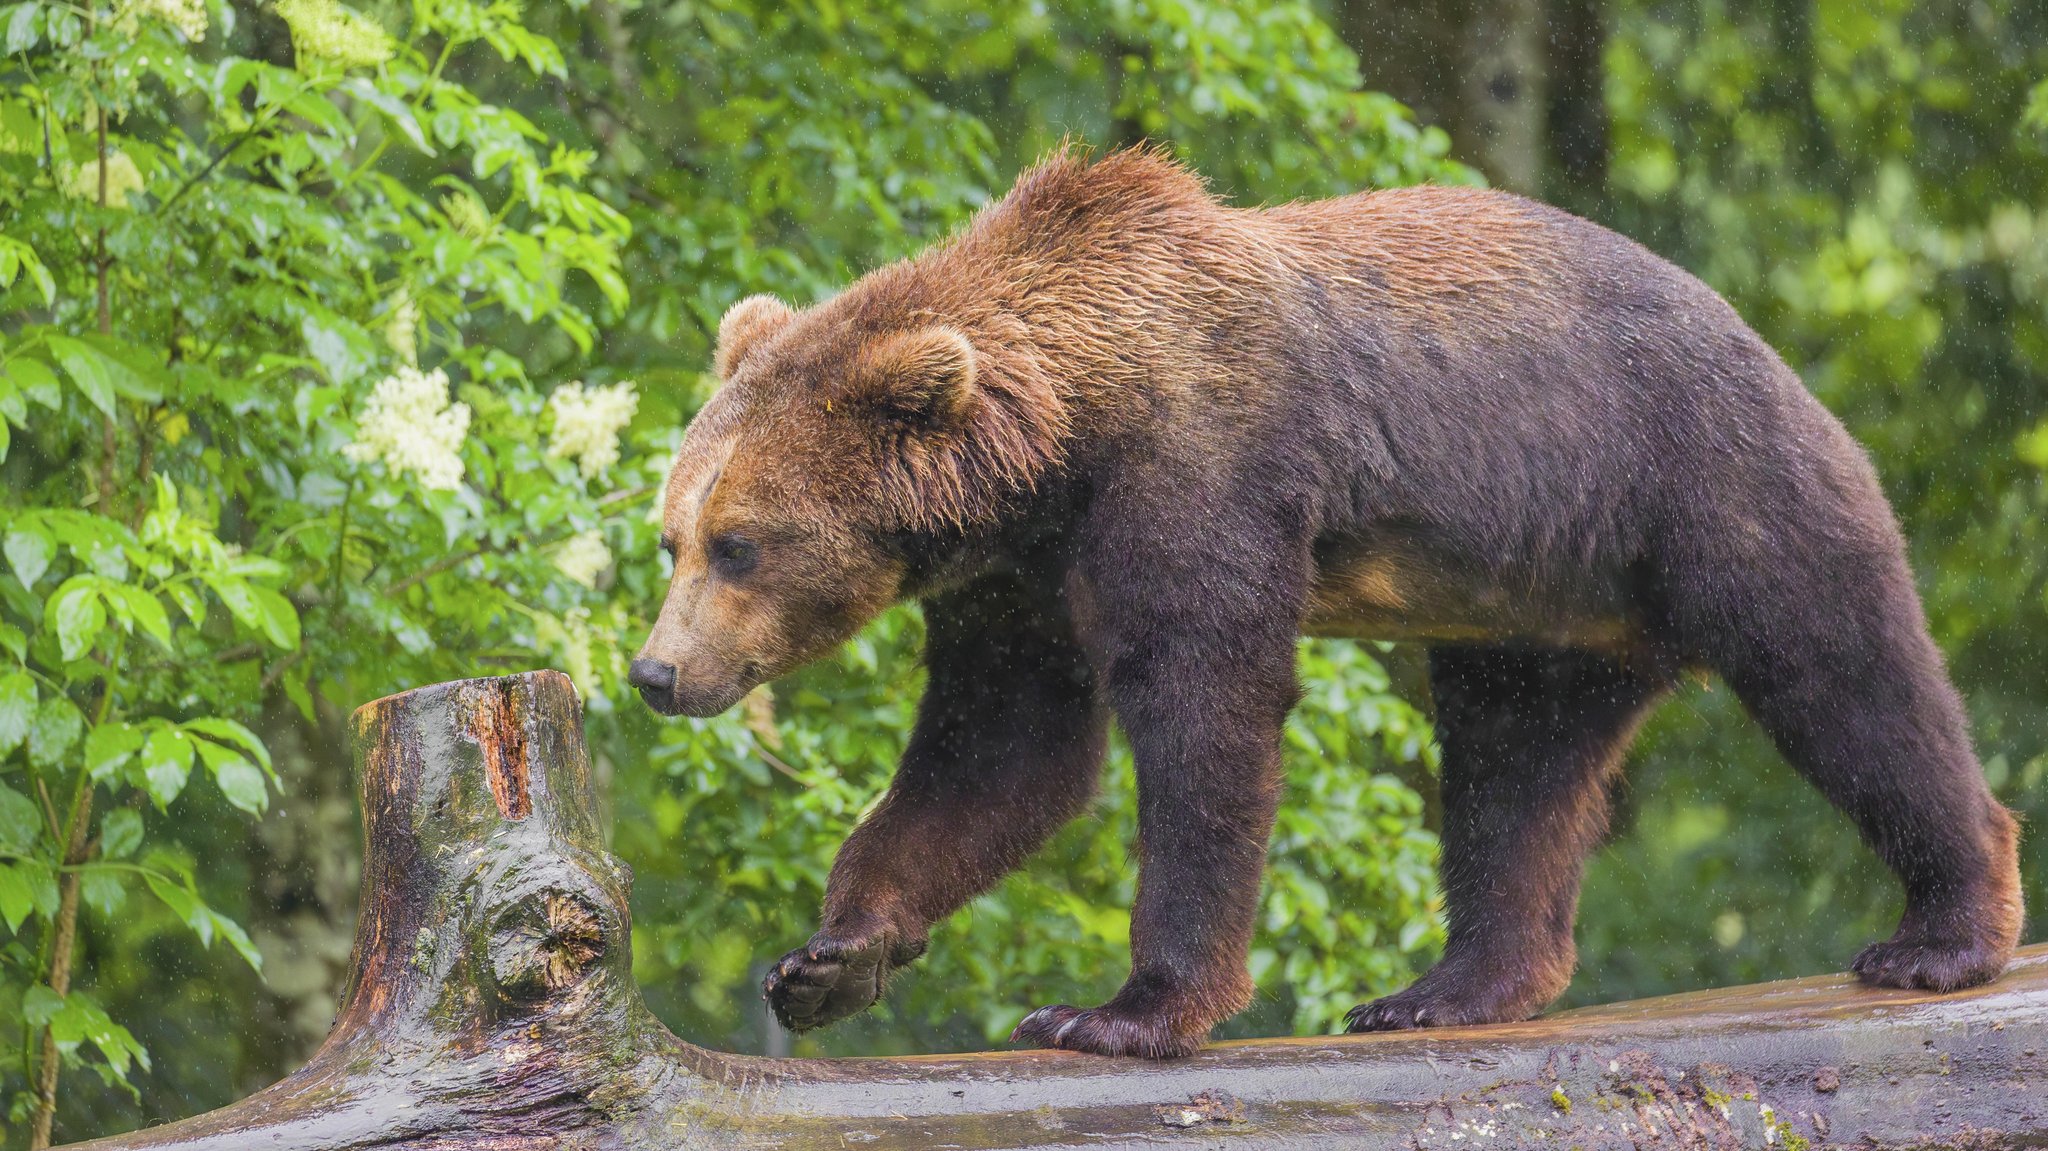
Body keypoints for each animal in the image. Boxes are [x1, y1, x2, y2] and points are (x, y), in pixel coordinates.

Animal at [630, 145, 2023, 1056]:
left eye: (741, 543)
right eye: (671, 536)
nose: (656, 673)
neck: (1061, 443)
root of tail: (1757, 333)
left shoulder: (1200, 473)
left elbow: (1202, 713)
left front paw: (1116, 1009)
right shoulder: (1013, 579)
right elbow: (998, 750)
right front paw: (831, 956)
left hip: (1699, 484)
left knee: (1839, 671)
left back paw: (1940, 928)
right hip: (1538, 606)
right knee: (1513, 766)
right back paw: (1445, 984)